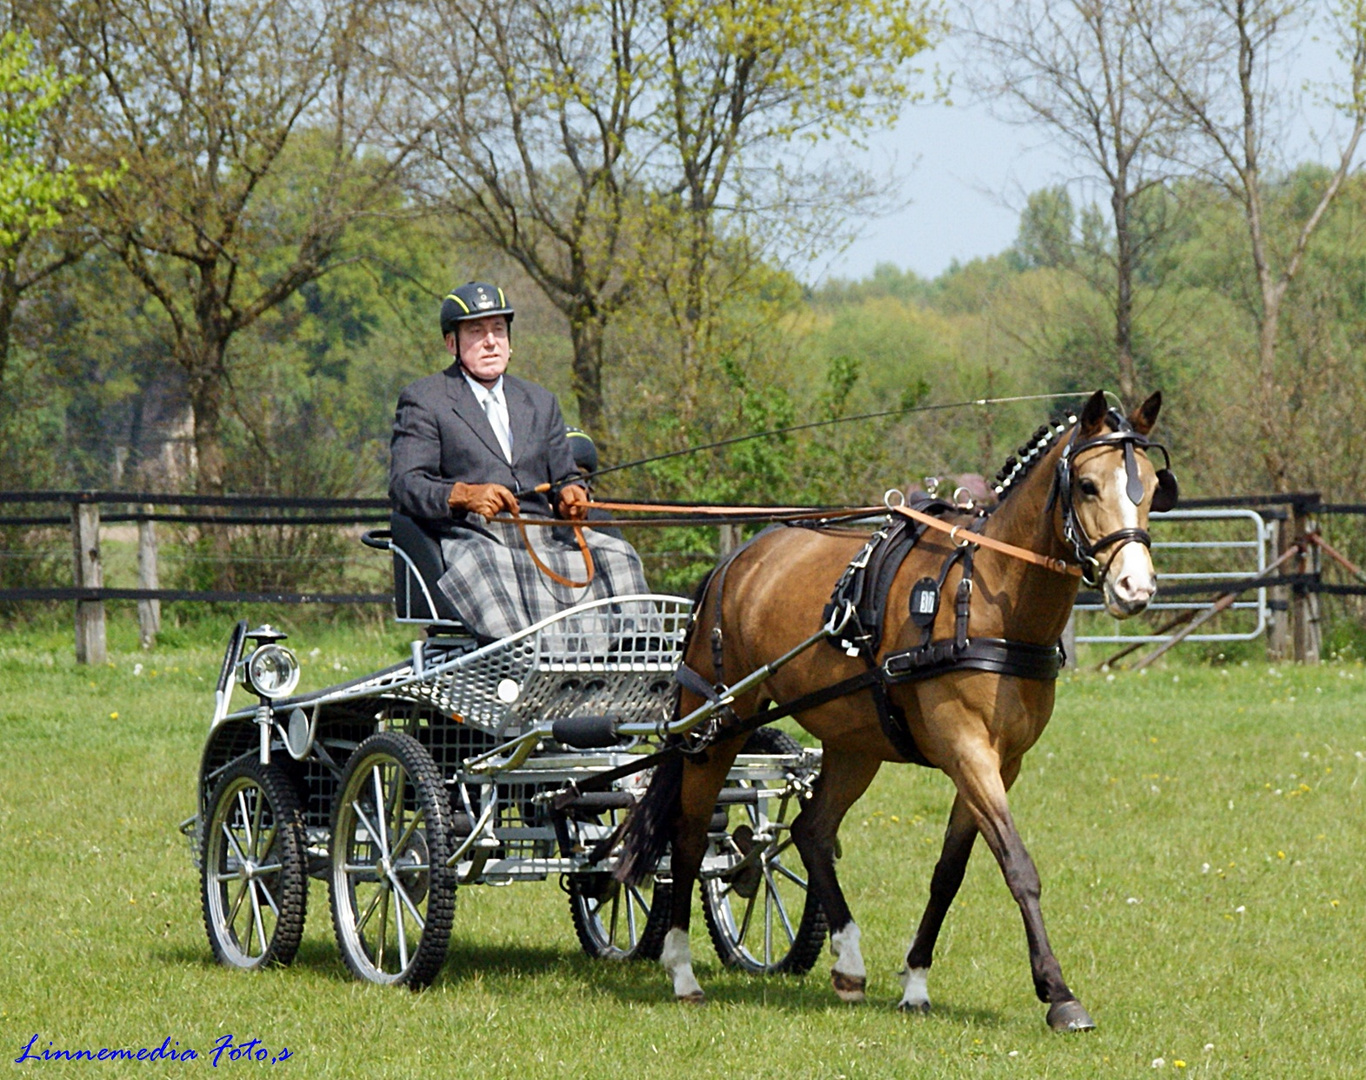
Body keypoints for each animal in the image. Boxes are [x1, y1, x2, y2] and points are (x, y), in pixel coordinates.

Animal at [617, 387, 1174, 1032]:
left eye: (1153, 488)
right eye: (1087, 485)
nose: (1136, 589)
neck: (989, 596)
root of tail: (738, 562)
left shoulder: (999, 763)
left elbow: (949, 873)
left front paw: (915, 982)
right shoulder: (967, 749)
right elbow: (1018, 866)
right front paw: (1059, 994)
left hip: (854, 742)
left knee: (811, 831)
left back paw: (849, 964)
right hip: (719, 724)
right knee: (688, 836)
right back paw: (682, 970)